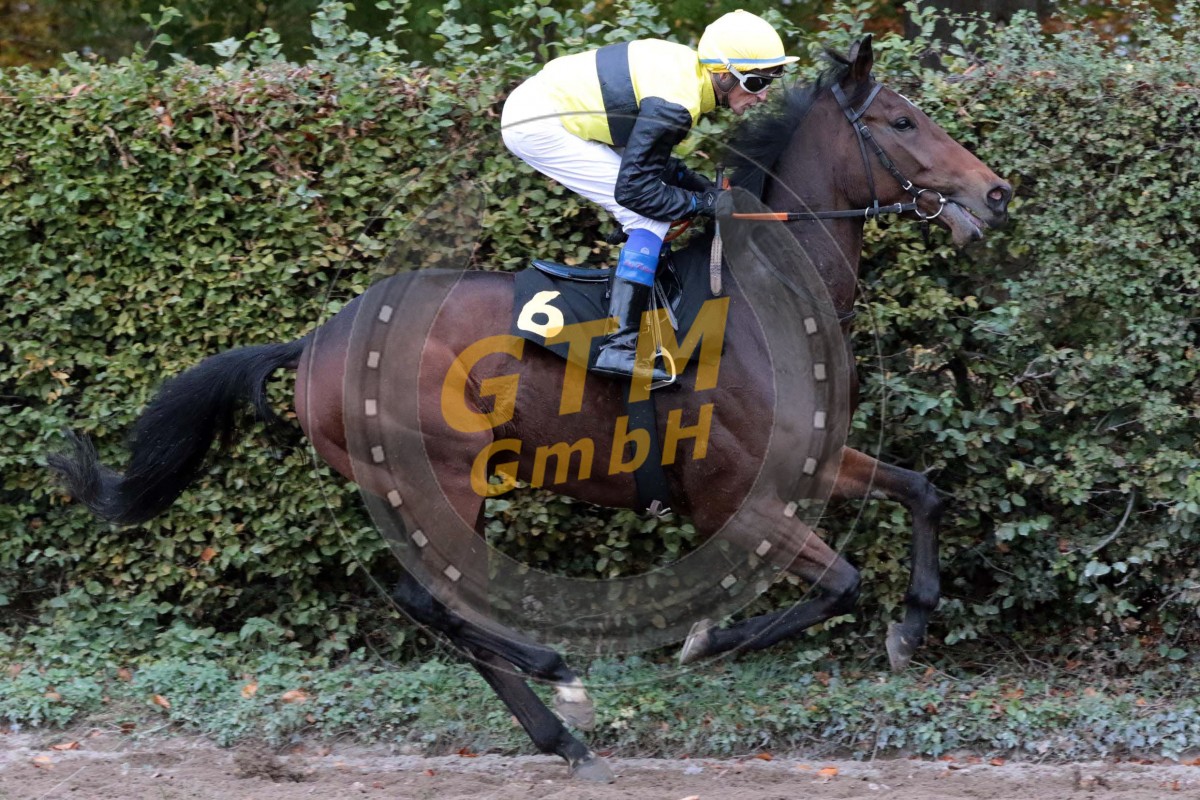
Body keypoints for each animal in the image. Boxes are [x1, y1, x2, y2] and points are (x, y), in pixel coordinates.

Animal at [49, 37, 1011, 781]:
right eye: (902, 123)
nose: (995, 192)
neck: (760, 300)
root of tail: (317, 340)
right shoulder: (732, 500)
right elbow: (840, 583)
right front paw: (704, 644)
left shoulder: (811, 463)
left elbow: (922, 492)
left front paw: (910, 624)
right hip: (437, 472)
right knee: (430, 599)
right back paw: (561, 683)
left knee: (447, 608)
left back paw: (560, 736)